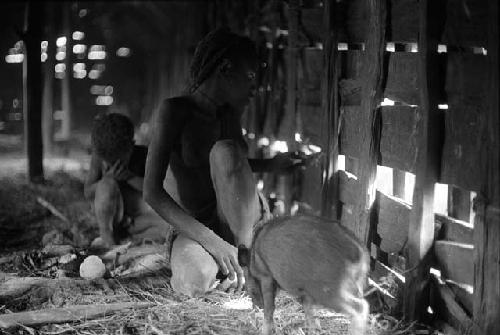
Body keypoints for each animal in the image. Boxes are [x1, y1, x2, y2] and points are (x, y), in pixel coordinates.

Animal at [236, 215, 370, 335]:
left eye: (250, 291)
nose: (256, 307)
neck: (252, 258)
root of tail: (361, 253)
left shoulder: (266, 276)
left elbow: (270, 309)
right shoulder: (305, 293)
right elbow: (310, 315)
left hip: (328, 290)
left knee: (360, 307)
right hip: (354, 286)